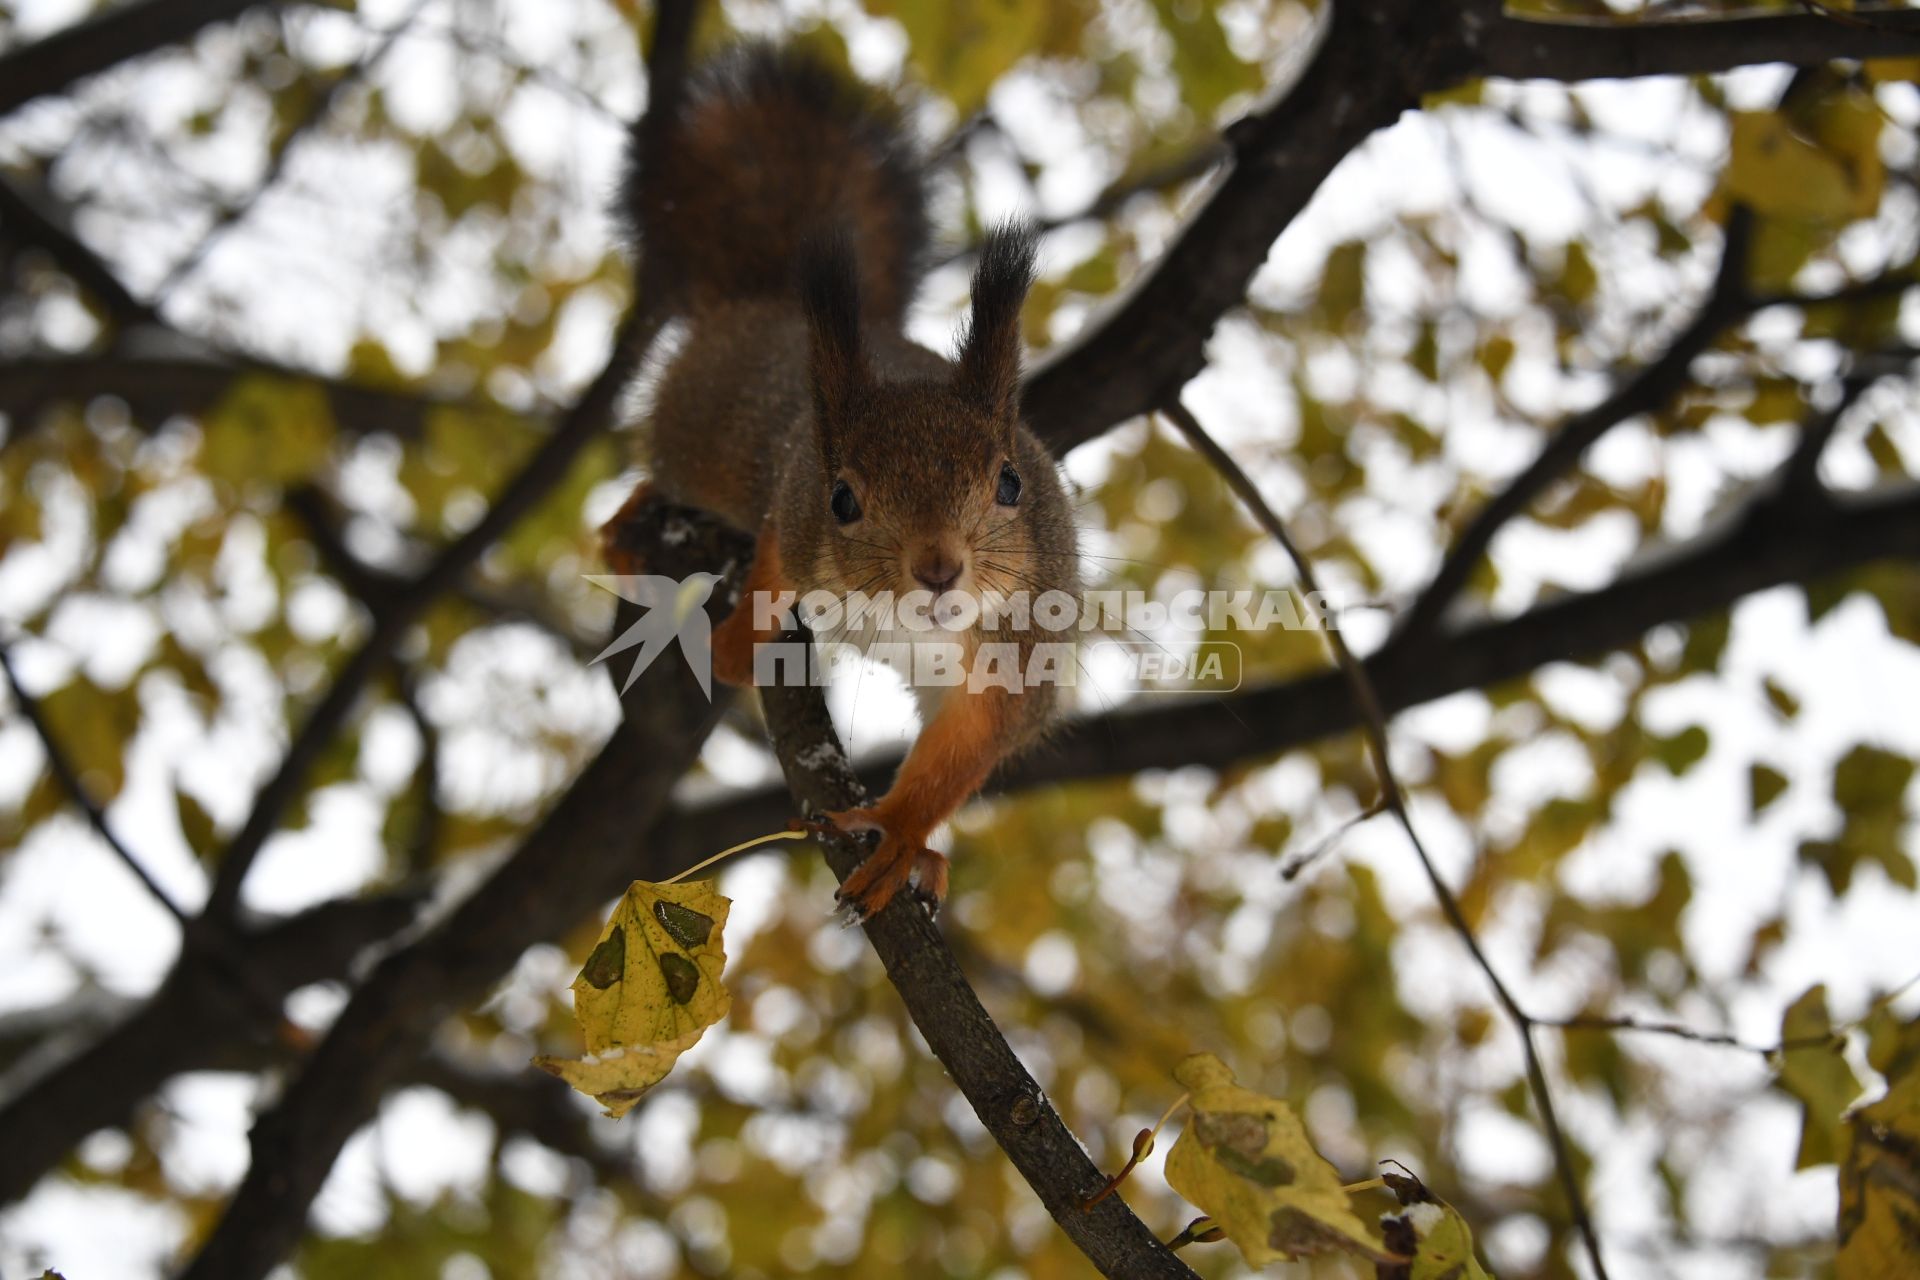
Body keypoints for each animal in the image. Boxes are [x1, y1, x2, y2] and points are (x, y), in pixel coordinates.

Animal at [599, 42, 1082, 921]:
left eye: (1010, 484)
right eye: (843, 499)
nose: (937, 567)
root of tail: (762, 301)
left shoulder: (1020, 650)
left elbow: (966, 748)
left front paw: (899, 835)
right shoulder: (793, 516)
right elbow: (769, 565)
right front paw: (738, 645)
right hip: (698, 433)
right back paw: (632, 519)